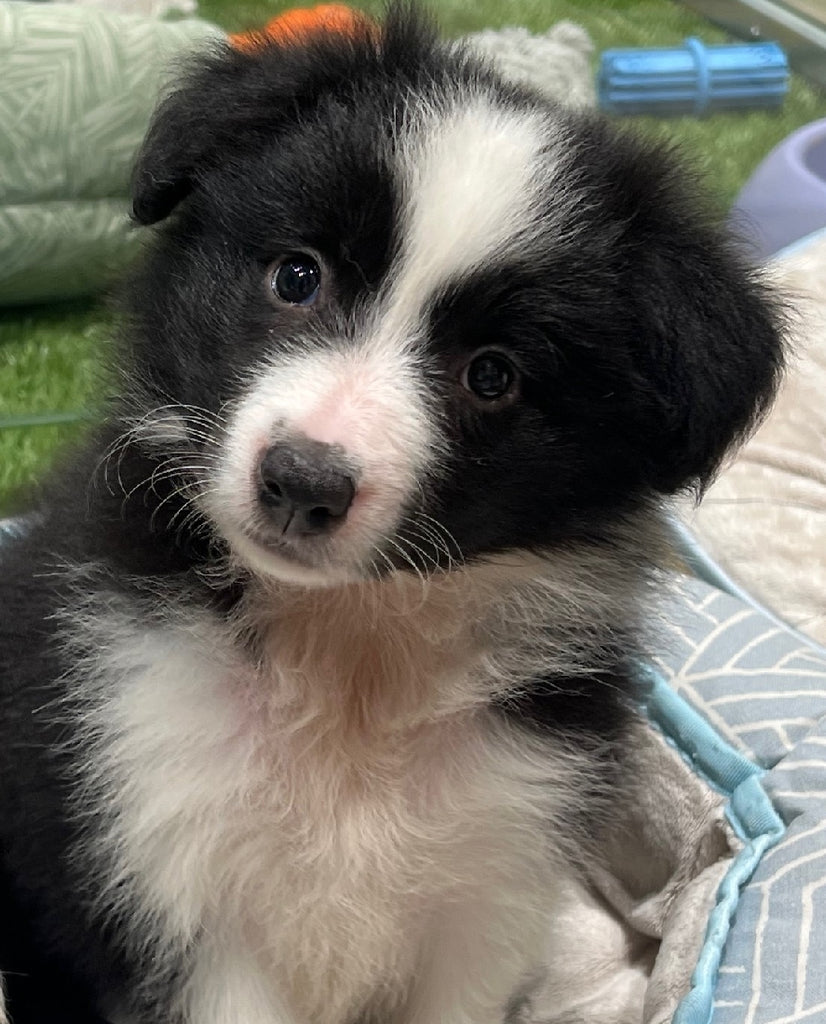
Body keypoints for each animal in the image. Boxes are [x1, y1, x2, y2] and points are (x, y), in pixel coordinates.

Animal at [0, 8, 781, 1024]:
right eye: (298, 276)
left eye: (493, 374)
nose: (301, 481)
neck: (349, 649)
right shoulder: (165, 844)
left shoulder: (494, 872)